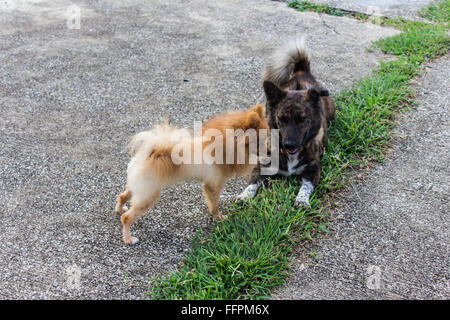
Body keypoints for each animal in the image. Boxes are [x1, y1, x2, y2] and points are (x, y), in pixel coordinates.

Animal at [117, 104, 270, 244]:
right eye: (260, 142)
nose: (270, 151)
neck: (226, 145)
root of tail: (149, 153)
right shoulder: (213, 185)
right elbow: (214, 205)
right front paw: (219, 218)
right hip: (148, 195)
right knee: (127, 218)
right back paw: (128, 238)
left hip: (139, 188)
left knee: (122, 196)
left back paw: (119, 209)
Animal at [239, 37, 334, 208]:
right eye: (281, 119)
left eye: (303, 119)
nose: (289, 144)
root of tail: (301, 71)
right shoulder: (262, 165)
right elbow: (253, 181)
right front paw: (245, 195)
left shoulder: (313, 170)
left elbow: (306, 185)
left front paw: (302, 200)